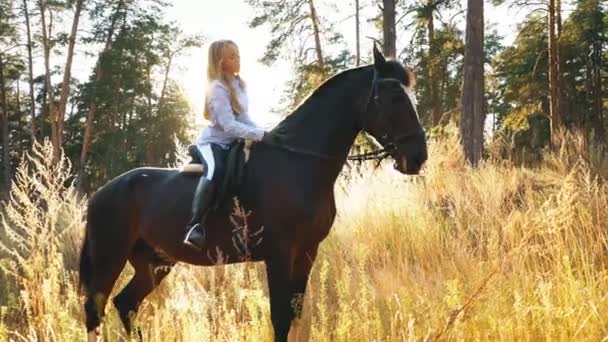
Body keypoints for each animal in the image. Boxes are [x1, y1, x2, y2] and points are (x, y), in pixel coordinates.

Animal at [78, 46, 428, 342]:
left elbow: (296, 313)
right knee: (95, 309)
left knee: (126, 304)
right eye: (393, 97)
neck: (299, 163)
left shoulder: (307, 251)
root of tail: (100, 193)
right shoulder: (280, 253)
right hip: (110, 255)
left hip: (155, 261)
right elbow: (281, 318)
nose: (418, 157)